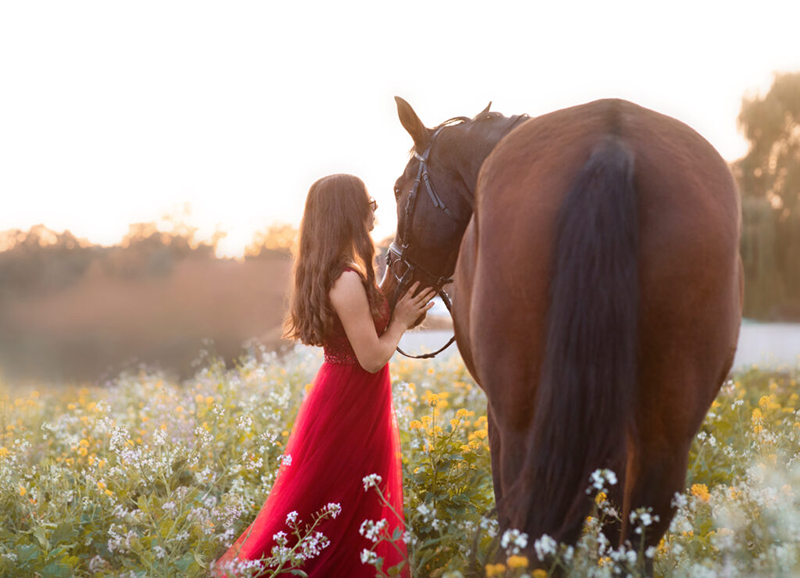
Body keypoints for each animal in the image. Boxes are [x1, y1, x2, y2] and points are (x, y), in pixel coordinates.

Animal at [382, 98, 744, 560]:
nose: (389, 285)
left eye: (398, 189)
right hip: (668, 430)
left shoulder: (497, 417)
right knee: (634, 536)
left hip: (521, 420)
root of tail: (612, 146)